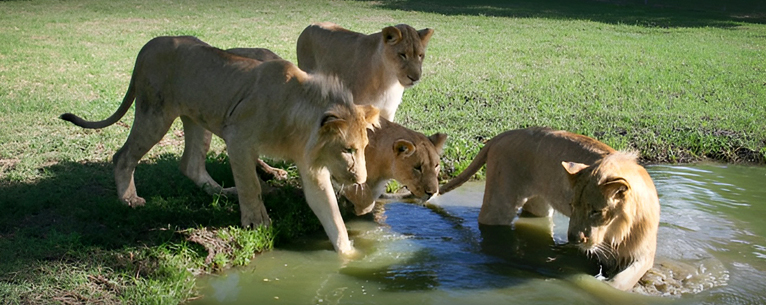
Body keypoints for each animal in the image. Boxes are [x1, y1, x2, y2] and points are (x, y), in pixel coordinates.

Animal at [60, 35, 380, 254]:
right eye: (348, 150)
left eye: (362, 148)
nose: (360, 180)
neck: (300, 121)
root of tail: (149, 44)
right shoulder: (238, 138)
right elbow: (250, 185)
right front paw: (257, 222)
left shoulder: (312, 166)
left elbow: (330, 214)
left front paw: (348, 256)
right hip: (155, 113)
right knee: (123, 156)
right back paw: (129, 199)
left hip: (197, 120)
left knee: (190, 164)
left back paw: (223, 192)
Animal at [296, 22, 436, 120]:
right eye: (402, 55)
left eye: (420, 56)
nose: (415, 78)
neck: (390, 82)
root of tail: (309, 25)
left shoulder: (388, 112)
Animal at [440, 126, 664, 290]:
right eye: (572, 206)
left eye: (596, 211)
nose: (573, 239)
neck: (618, 231)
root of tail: (503, 135)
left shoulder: (643, 256)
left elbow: (620, 281)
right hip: (499, 204)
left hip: (539, 205)